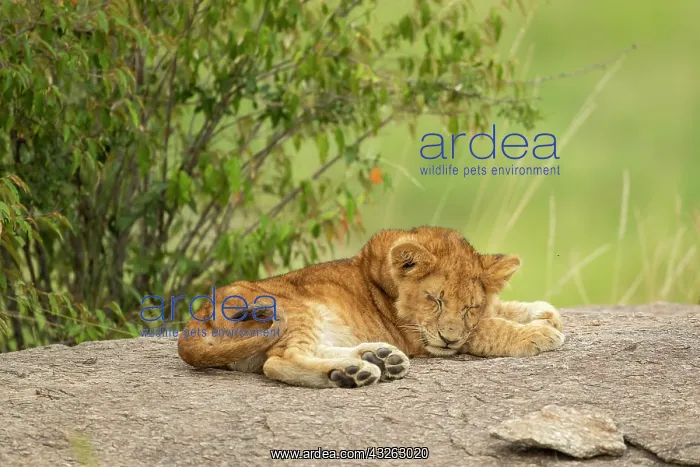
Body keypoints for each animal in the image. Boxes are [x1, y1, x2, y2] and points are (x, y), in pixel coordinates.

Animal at [177, 226, 564, 388]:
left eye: (470, 305)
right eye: (434, 299)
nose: (449, 339)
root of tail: (198, 318)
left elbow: (499, 310)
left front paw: (546, 313)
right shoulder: (421, 337)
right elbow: (489, 329)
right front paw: (540, 334)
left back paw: (374, 360)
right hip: (292, 310)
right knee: (278, 361)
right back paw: (355, 373)